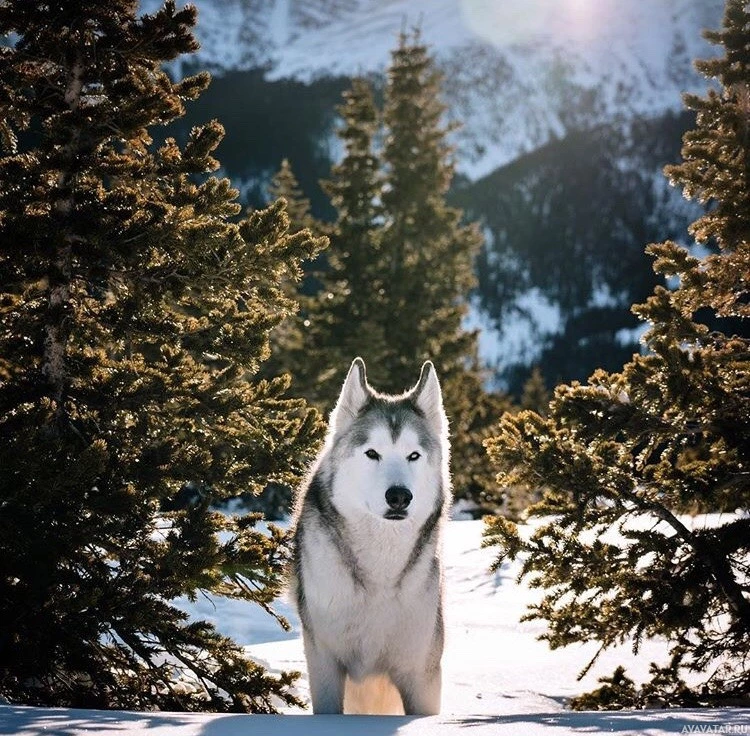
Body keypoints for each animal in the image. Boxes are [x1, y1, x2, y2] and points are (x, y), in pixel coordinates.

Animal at [290, 356, 450, 712]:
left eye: (413, 455)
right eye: (372, 453)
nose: (399, 496)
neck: (379, 576)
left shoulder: (421, 675)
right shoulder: (324, 663)